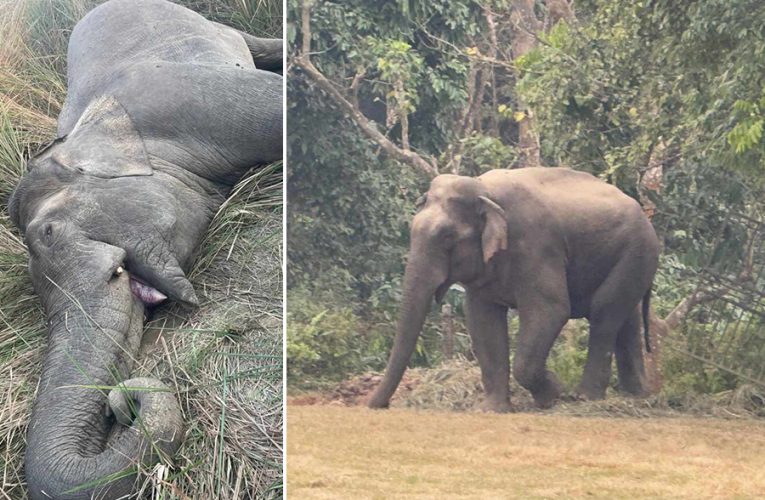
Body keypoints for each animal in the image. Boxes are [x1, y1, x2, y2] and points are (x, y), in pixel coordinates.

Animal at [368, 167, 660, 410]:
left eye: (448, 237)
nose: (377, 405)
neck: (483, 189)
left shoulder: (537, 245)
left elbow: (551, 310)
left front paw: (554, 394)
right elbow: (482, 320)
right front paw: (492, 409)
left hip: (638, 251)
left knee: (604, 313)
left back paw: (585, 398)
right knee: (626, 317)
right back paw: (637, 395)